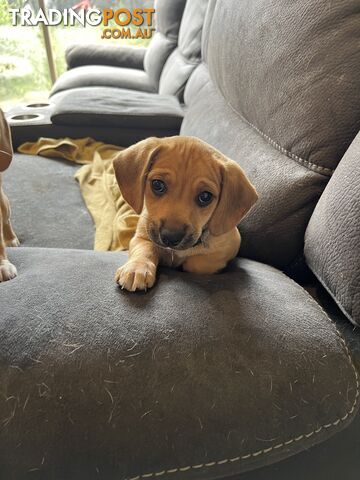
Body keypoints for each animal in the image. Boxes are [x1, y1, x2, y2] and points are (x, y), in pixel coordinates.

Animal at [114, 136, 258, 292]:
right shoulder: (142, 236)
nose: (170, 238)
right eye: (157, 185)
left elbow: (197, 263)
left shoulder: (230, 245)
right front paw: (136, 269)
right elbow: (145, 249)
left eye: (205, 197)